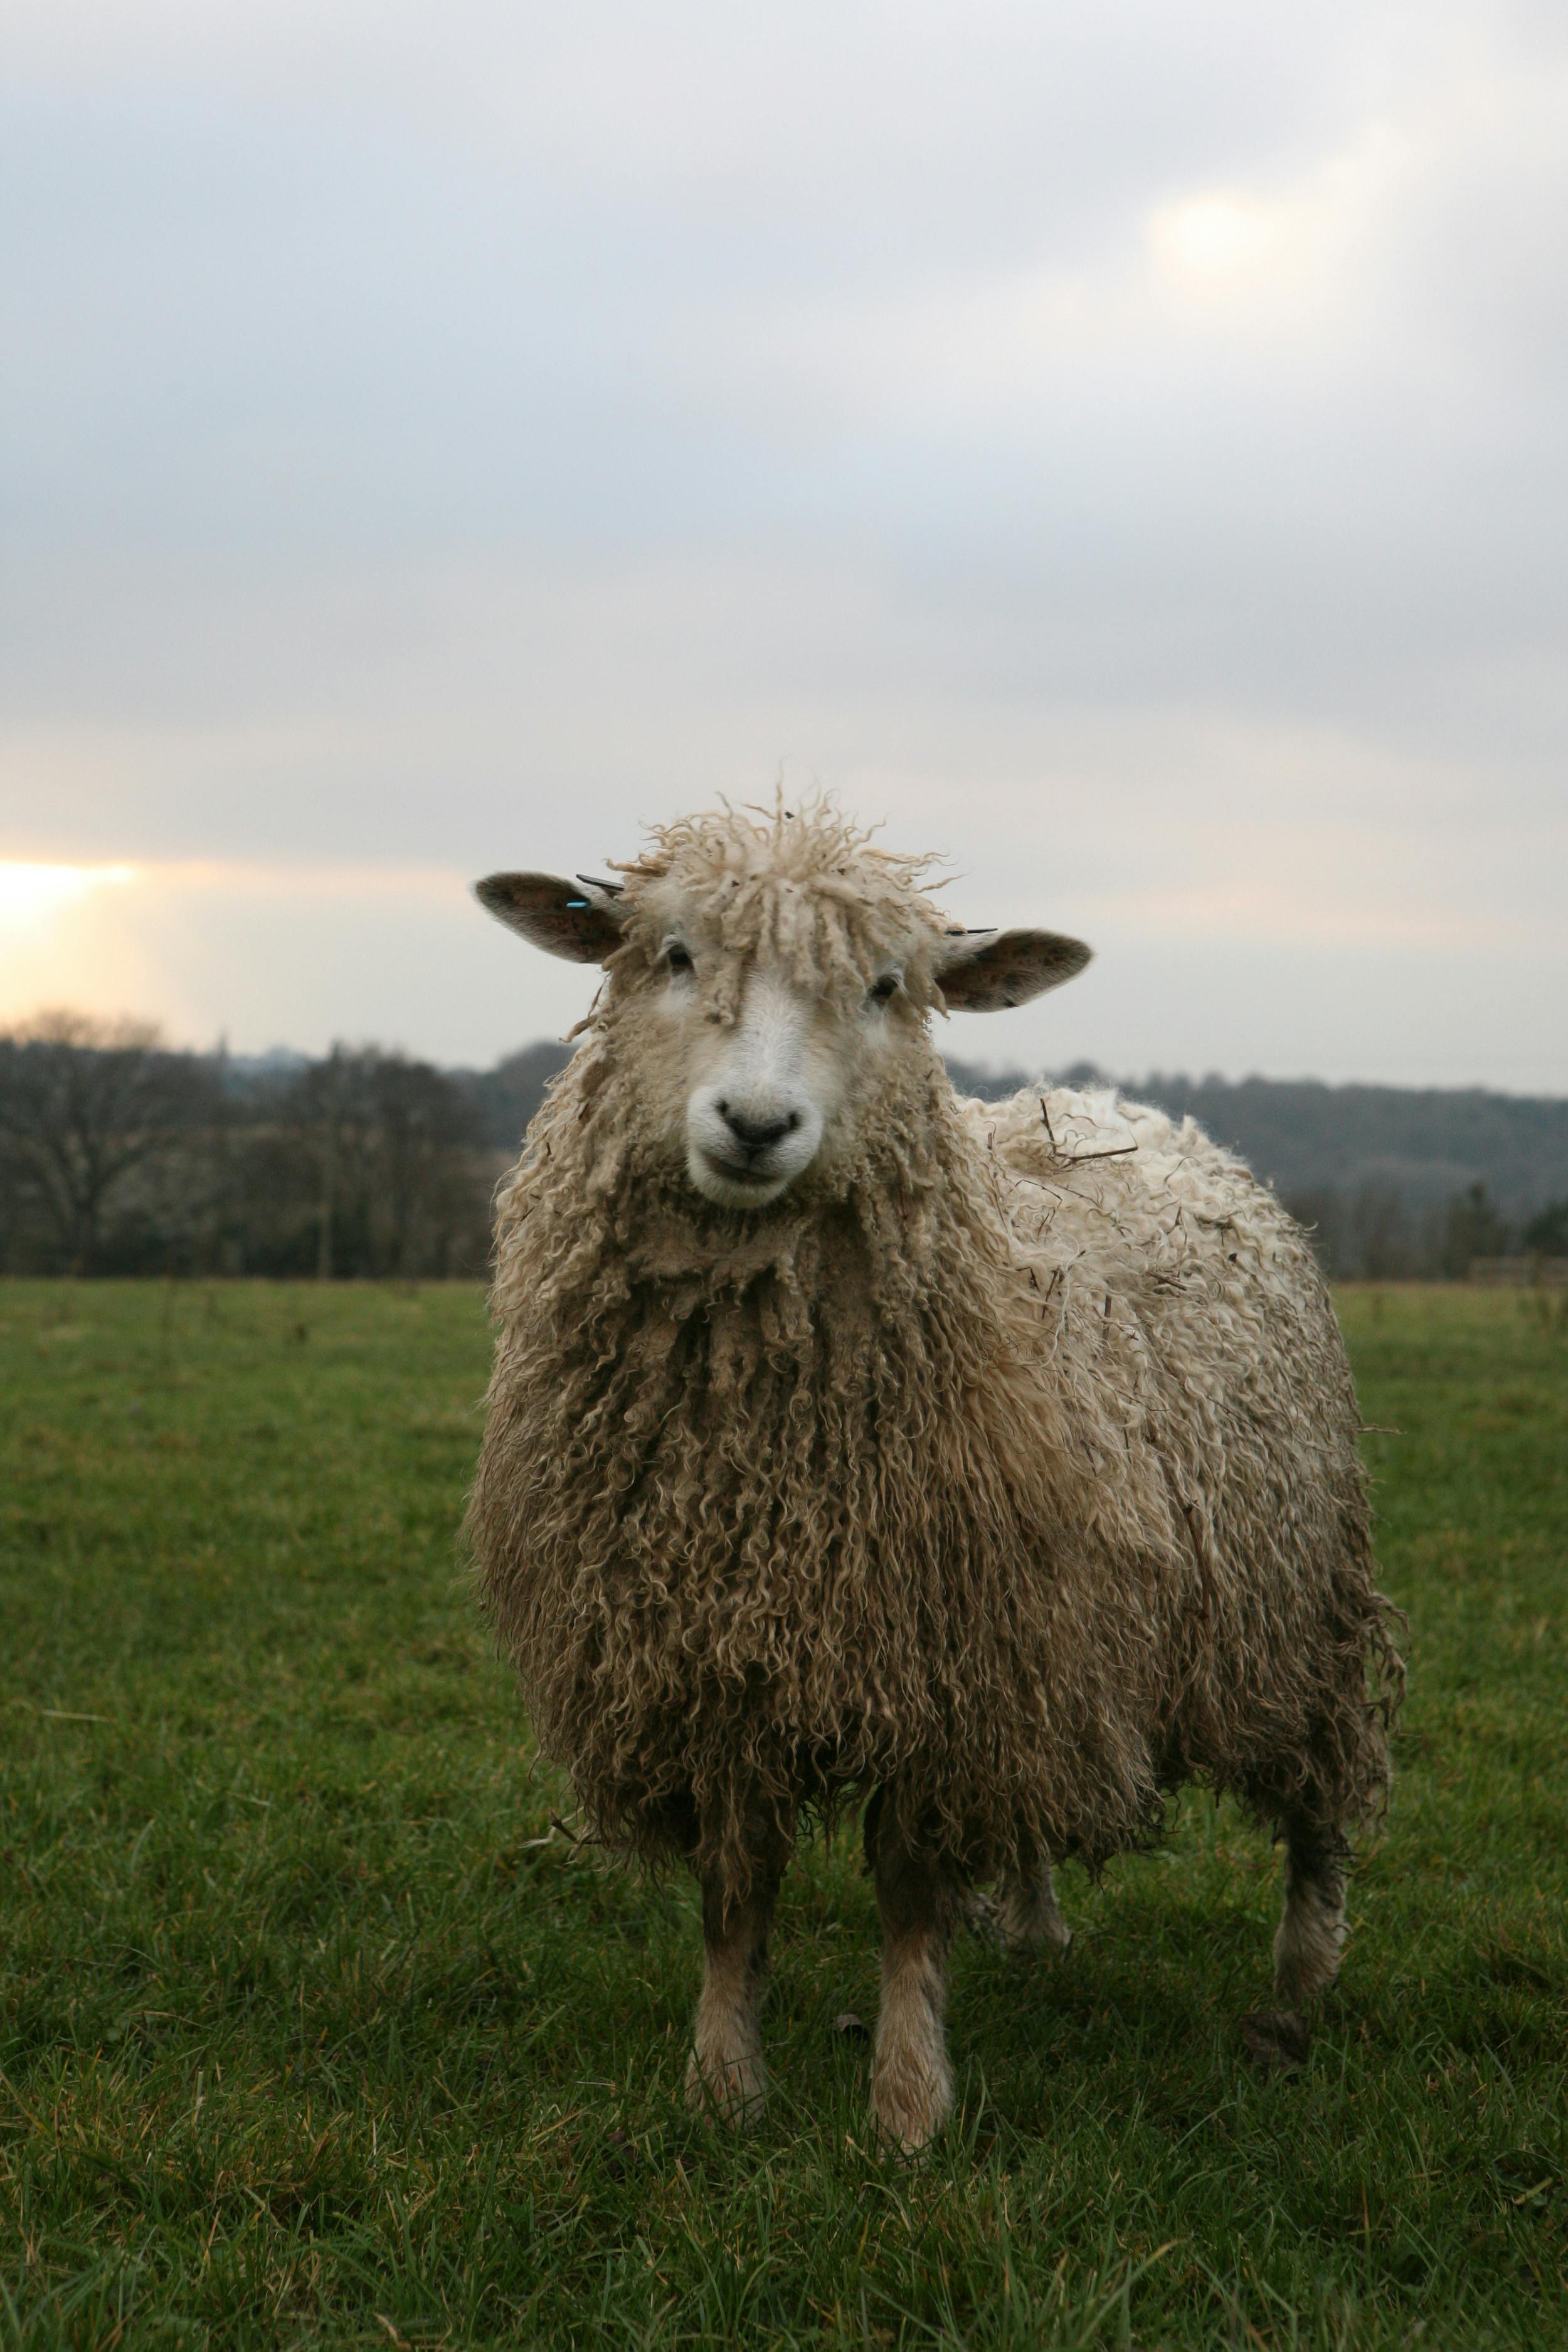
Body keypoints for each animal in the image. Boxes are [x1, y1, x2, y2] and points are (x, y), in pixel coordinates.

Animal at [467, 800, 1402, 2150]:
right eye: (672, 956)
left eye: (884, 988)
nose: (756, 1125)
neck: (759, 1460)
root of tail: (1127, 1109)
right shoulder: (716, 1655)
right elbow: (734, 1889)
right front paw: (723, 2086)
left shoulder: (942, 1664)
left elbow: (909, 1891)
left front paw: (906, 2108)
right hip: (1062, 1624)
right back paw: (1033, 1926)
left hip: (1290, 1591)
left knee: (1321, 1792)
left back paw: (1297, 1989)